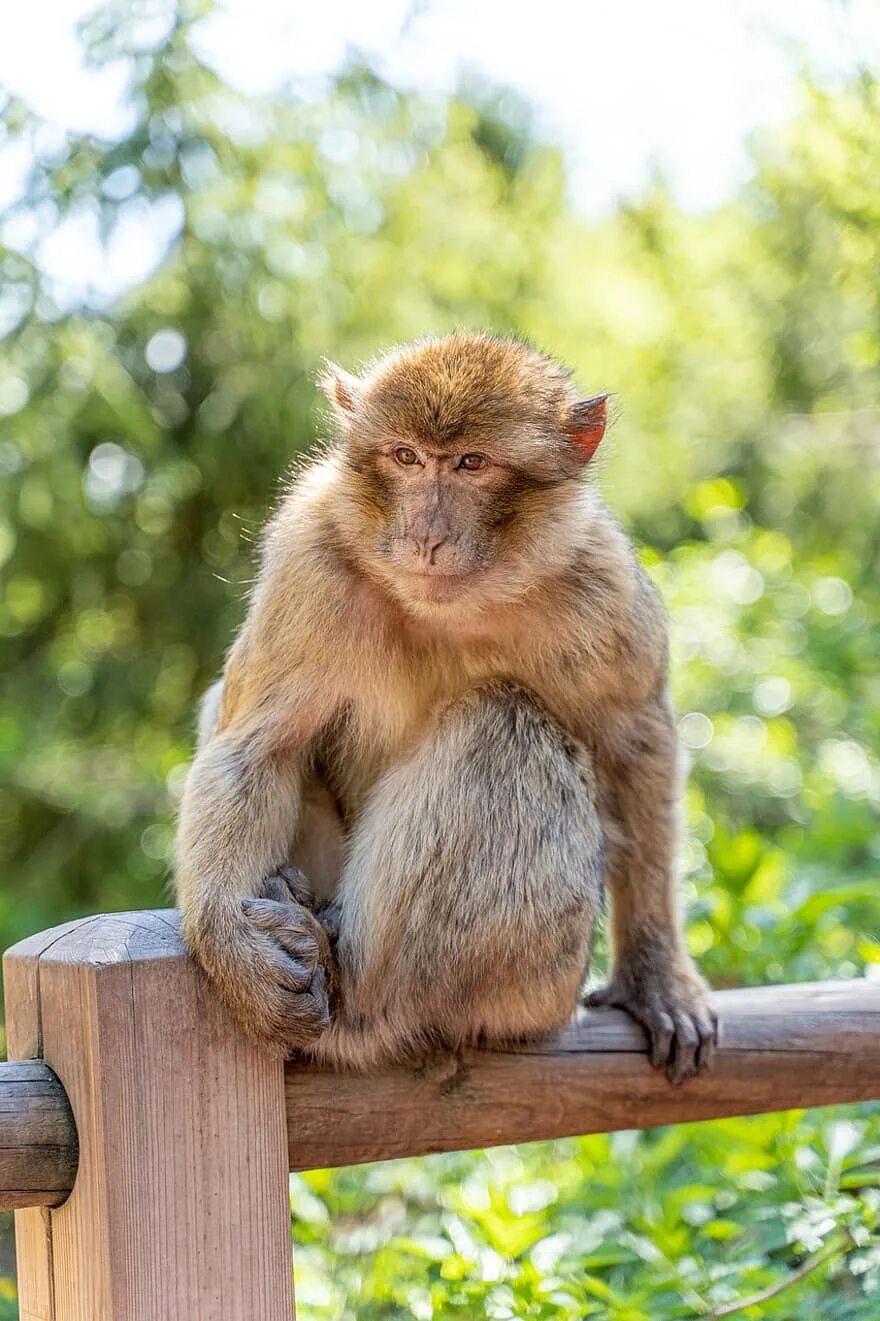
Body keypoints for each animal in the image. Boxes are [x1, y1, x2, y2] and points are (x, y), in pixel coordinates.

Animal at [174, 330, 718, 1083]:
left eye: (471, 463)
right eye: (406, 457)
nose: (425, 536)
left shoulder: (599, 580)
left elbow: (635, 743)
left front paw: (656, 976)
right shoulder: (307, 559)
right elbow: (255, 745)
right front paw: (230, 946)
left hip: (538, 982)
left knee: (501, 719)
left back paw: (355, 983)